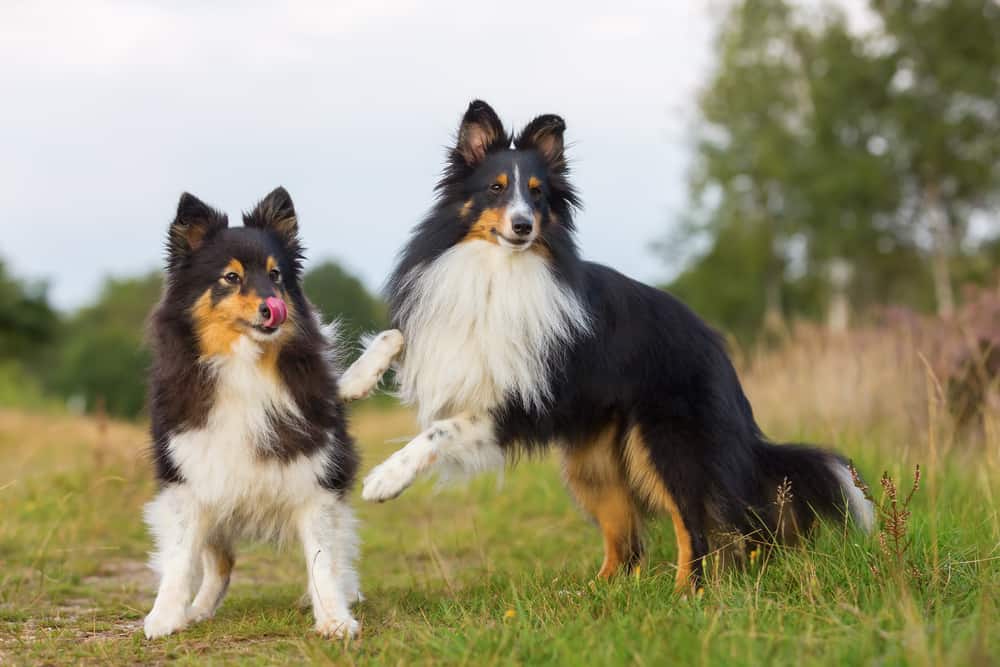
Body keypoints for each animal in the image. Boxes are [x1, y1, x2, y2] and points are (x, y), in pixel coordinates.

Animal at [142, 187, 406, 636]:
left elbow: (321, 559)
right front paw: (164, 617)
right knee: (220, 562)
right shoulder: (190, 476)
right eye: (231, 277)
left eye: (276, 275)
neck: (246, 363)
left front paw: (334, 619)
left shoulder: (316, 474)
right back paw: (197, 610)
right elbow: (179, 556)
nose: (271, 306)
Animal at [362, 99, 876, 588]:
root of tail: (716, 348)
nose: (524, 226)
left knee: (695, 528)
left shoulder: (518, 402)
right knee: (627, 543)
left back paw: (686, 594)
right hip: (593, 463)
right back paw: (593, 593)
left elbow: (440, 429)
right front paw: (362, 376)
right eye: (495, 188)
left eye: (537, 193)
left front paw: (384, 480)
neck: (501, 269)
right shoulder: (448, 328)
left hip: (667, 443)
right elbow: (398, 336)